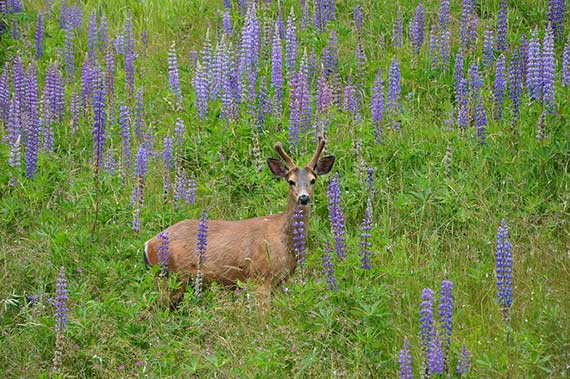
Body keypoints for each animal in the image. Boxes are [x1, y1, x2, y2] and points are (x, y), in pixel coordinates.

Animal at [142, 138, 336, 308]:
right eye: (291, 181)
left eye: (313, 179)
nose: (303, 198)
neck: (284, 241)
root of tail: (148, 244)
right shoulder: (260, 277)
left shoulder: (278, 282)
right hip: (171, 278)